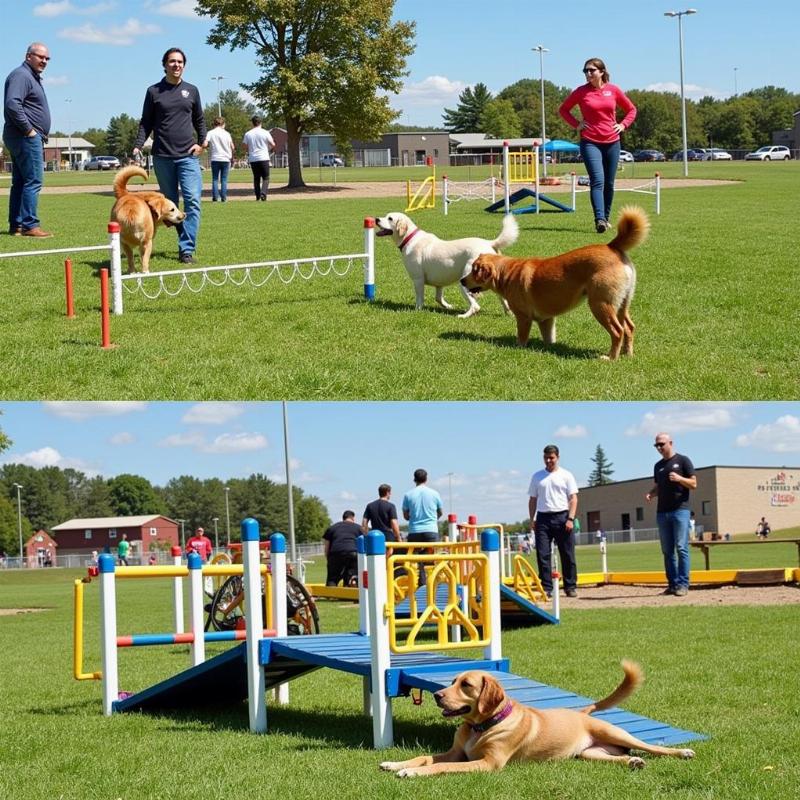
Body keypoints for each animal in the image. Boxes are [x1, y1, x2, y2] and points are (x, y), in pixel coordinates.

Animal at [376, 212, 520, 318]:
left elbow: (419, 299)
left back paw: (463, 316)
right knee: (502, 299)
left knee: (475, 306)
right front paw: (449, 306)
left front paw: (417, 310)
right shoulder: (439, 283)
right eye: (385, 215)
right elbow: (438, 298)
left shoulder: (418, 280)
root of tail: (489, 243)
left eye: (390, 218)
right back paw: (509, 314)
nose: (376, 219)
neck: (409, 238)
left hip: (464, 282)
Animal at [380, 664, 692, 780]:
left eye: (466, 685)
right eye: (452, 681)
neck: (482, 726)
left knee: (655, 747)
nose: (437, 696)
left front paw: (411, 773)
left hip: (619, 734)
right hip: (590, 754)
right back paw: (633, 762)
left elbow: (441, 766)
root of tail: (582, 713)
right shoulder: (456, 752)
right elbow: (425, 757)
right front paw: (396, 764)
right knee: (621, 757)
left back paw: (682, 752)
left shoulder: (488, 763)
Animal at [462, 206, 648, 360]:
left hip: (600, 304)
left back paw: (611, 358)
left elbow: (521, 337)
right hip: (622, 304)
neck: (506, 272)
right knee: (629, 328)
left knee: (618, 331)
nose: (462, 281)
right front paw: (549, 348)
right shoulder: (546, 320)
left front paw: (518, 347)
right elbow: (549, 338)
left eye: (474, 270)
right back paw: (627, 354)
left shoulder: (523, 317)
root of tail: (612, 246)